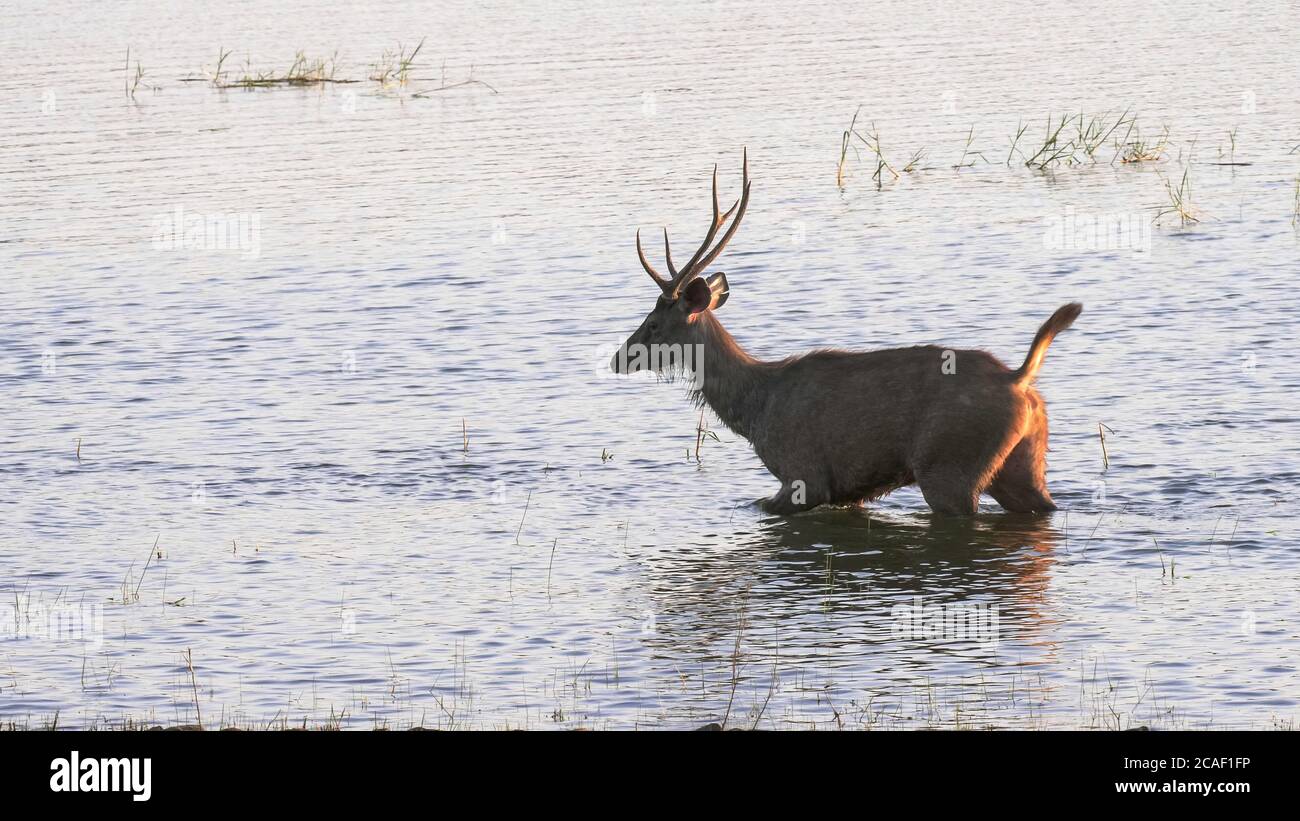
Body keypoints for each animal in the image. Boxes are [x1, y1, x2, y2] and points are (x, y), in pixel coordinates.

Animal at [613, 150, 1081, 517]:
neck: (754, 408)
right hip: (1023, 464)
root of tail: (1018, 379)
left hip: (949, 469)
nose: (619, 357)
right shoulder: (846, 491)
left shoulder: (804, 477)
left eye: (653, 324)